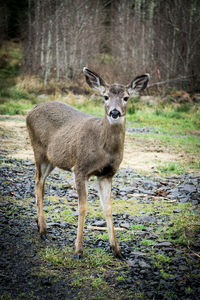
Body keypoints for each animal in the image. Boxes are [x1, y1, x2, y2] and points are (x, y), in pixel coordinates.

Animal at [25, 67, 149, 258]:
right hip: (38, 150)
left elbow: (108, 208)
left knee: (40, 181)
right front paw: (78, 250)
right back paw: (43, 231)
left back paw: (39, 224)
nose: (114, 112)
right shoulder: (80, 168)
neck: (103, 148)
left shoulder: (107, 174)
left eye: (126, 97)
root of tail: (30, 110)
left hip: (52, 158)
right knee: (38, 180)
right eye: (105, 96)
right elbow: (82, 208)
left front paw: (117, 249)